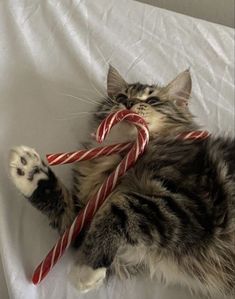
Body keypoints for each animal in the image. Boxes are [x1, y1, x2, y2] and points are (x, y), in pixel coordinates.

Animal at [8, 65, 234, 298]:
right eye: (121, 97)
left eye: (153, 100)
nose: (129, 103)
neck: (123, 155)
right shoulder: (88, 220)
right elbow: (68, 216)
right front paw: (31, 172)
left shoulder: (191, 205)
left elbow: (120, 208)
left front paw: (85, 270)